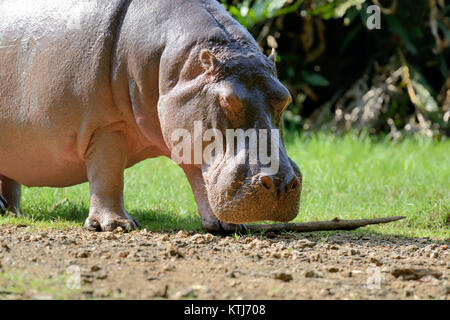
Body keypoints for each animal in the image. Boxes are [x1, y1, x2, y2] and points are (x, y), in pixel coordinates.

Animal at [0, 0, 302, 232]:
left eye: (285, 98)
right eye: (227, 101)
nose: (280, 184)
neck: (179, 66)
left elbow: (201, 180)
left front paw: (226, 226)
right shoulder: (106, 125)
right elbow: (108, 175)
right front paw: (116, 226)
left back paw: (11, 211)